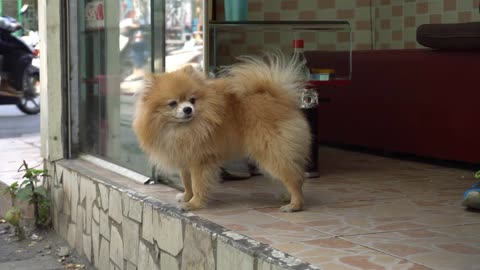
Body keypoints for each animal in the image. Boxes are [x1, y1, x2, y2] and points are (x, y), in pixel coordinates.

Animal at [131, 53, 312, 213]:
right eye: (173, 103)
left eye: (192, 100)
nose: (188, 109)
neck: (181, 129)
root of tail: (278, 97)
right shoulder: (184, 157)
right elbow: (186, 181)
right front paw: (186, 196)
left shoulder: (200, 160)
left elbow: (197, 184)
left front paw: (194, 204)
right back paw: (287, 196)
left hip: (272, 150)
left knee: (294, 177)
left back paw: (294, 204)